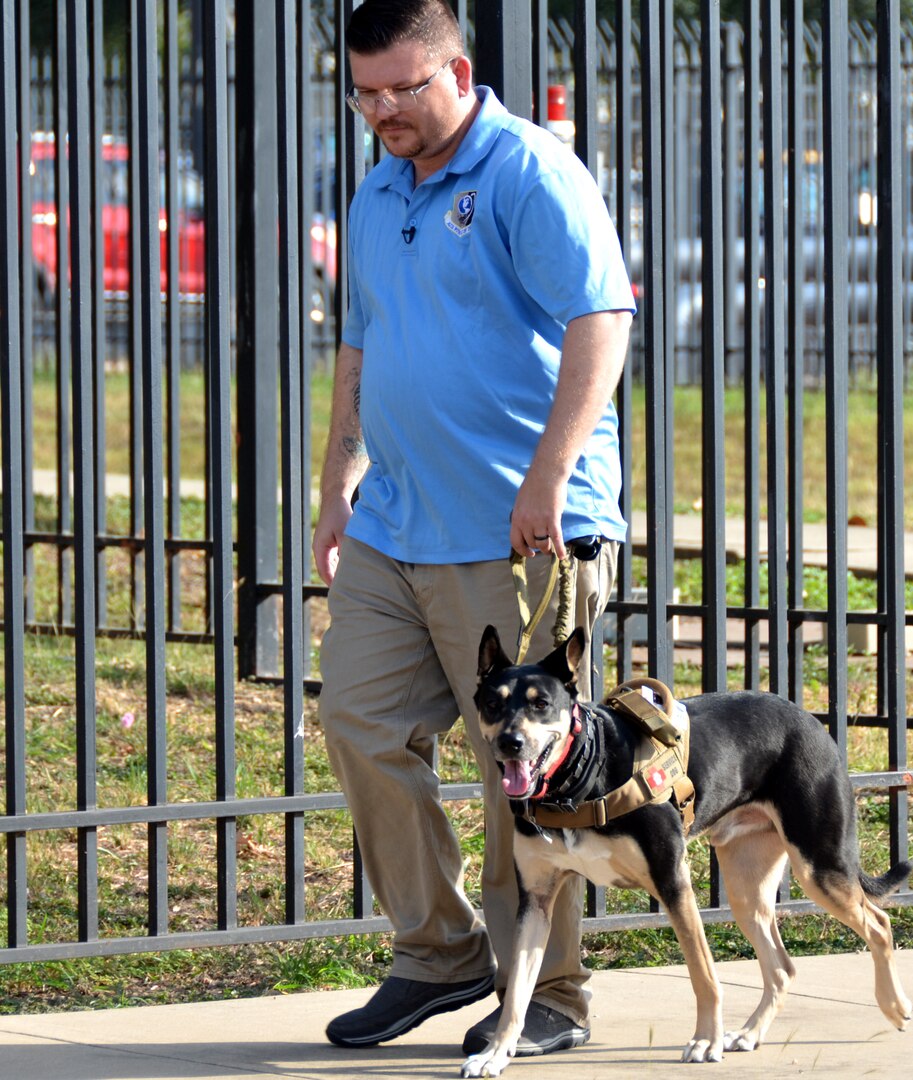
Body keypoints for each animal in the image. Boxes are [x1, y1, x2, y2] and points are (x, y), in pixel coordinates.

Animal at [462, 626, 911, 1071]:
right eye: (492, 704)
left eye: (541, 704)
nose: (510, 742)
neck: (581, 776)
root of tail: (810, 721)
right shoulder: (536, 901)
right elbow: (517, 992)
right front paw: (496, 1053)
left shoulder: (672, 881)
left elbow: (703, 974)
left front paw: (705, 1040)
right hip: (746, 890)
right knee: (782, 967)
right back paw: (749, 1033)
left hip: (819, 867)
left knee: (879, 924)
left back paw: (893, 1006)